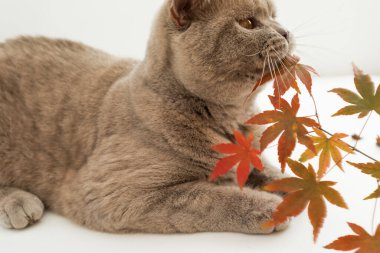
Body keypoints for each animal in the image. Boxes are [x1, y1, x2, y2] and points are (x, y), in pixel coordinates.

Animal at [0, 0, 292, 233]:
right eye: (247, 23)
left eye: (274, 16)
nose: (285, 31)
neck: (231, 116)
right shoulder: (113, 193)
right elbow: (207, 197)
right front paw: (269, 208)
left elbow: (269, 172)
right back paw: (20, 204)